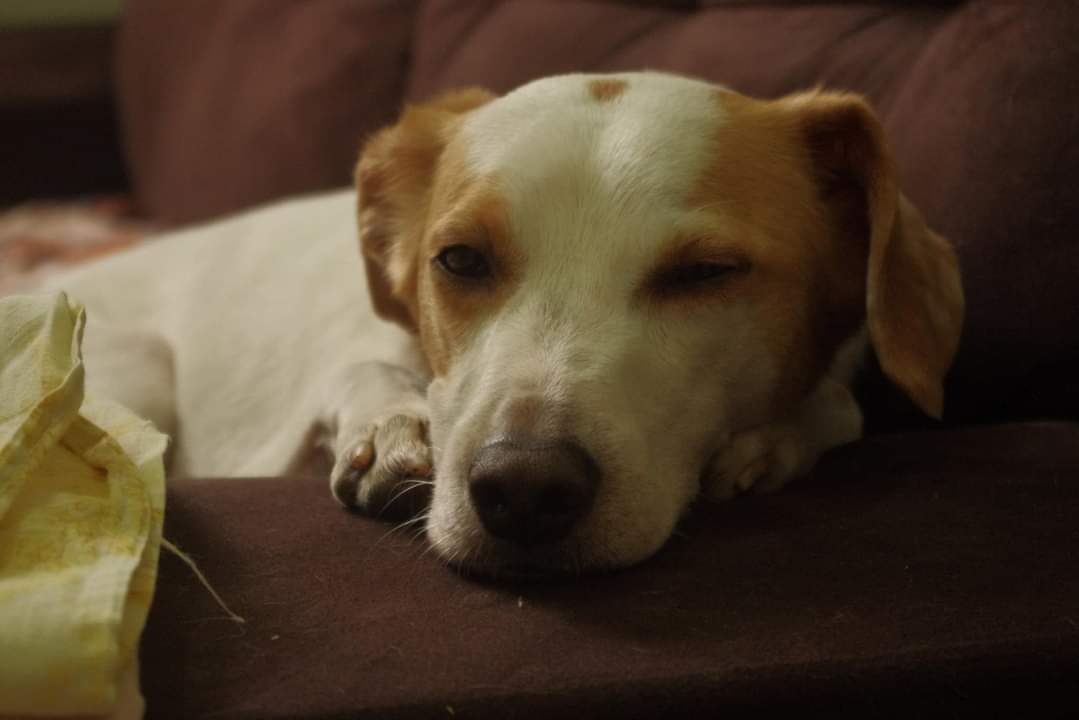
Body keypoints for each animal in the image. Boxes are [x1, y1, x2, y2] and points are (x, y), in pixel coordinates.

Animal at [50, 72, 963, 576]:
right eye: (458, 259)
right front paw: (392, 423)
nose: (522, 490)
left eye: (706, 273)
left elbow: (836, 403)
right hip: (140, 367)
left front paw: (770, 441)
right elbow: (365, 374)